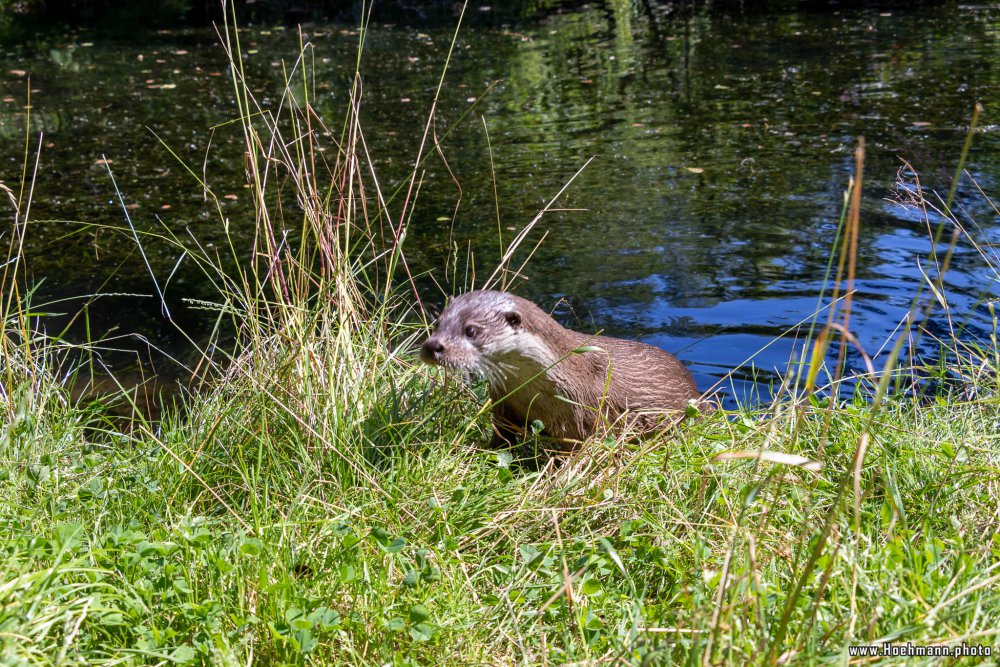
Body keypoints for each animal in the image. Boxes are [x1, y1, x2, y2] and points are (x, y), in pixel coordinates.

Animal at [418, 290, 700, 452]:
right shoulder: (503, 403)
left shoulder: (582, 413)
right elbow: (502, 435)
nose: (433, 346)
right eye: (438, 323)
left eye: (471, 330)